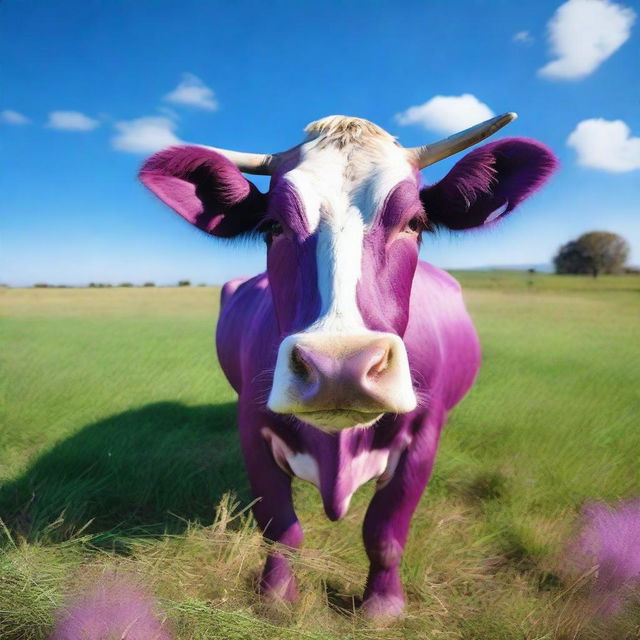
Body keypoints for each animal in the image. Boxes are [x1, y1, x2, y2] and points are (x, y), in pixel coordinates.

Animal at [139, 112, 556, 616]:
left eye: (415, 222)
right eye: (272, 226)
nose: (338, 368)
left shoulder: (423, 437)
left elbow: (384, 532)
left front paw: (383, 606)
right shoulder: (252, 429)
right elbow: (279, 528)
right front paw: (277, 598)